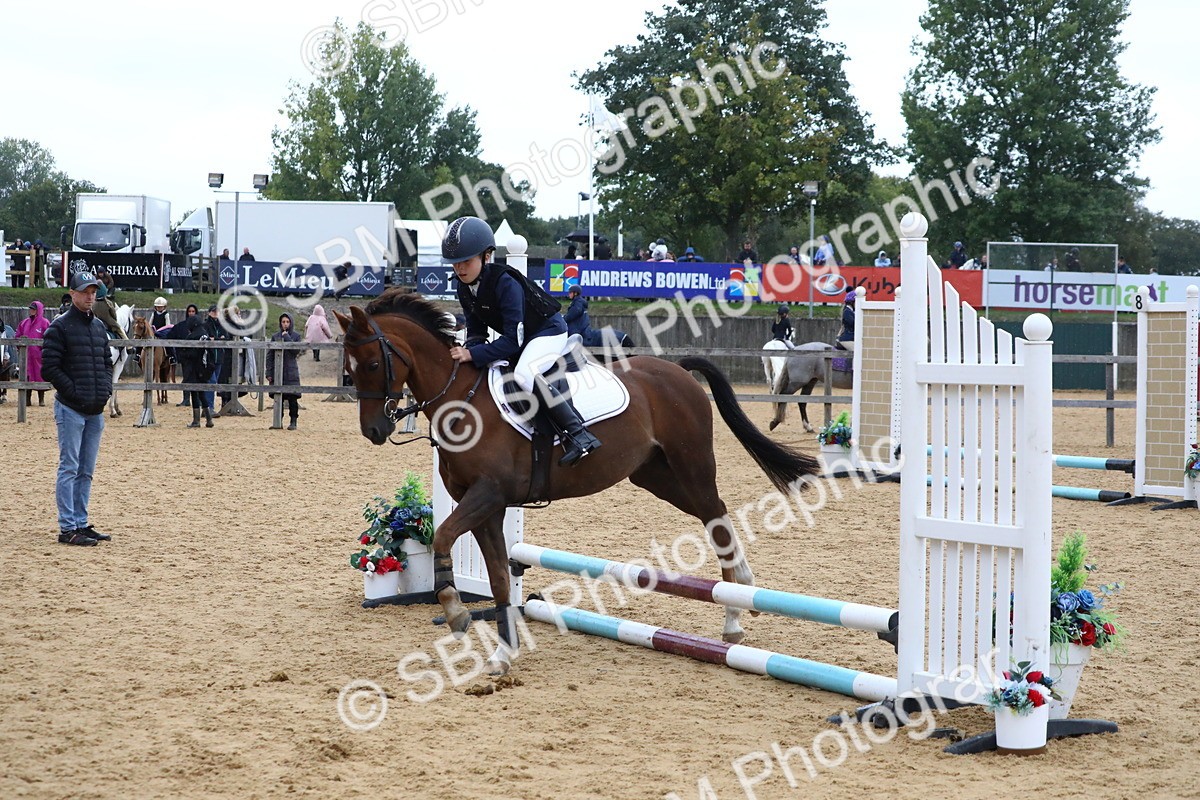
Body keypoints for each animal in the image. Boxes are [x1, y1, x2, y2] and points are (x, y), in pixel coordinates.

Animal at [335, 292, 820, 675]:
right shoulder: (486, 505)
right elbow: (497, 578)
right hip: (654, 474)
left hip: (691, 464)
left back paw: (734, 612)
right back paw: (741, 593)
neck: (462, 400)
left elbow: (442, 537)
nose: (374, 430)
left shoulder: (488, 494)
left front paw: (456, 613)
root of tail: (678, 370)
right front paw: (503, 655)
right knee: (711, 512)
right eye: (350, 370)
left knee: (716, 515)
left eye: (374, 363)